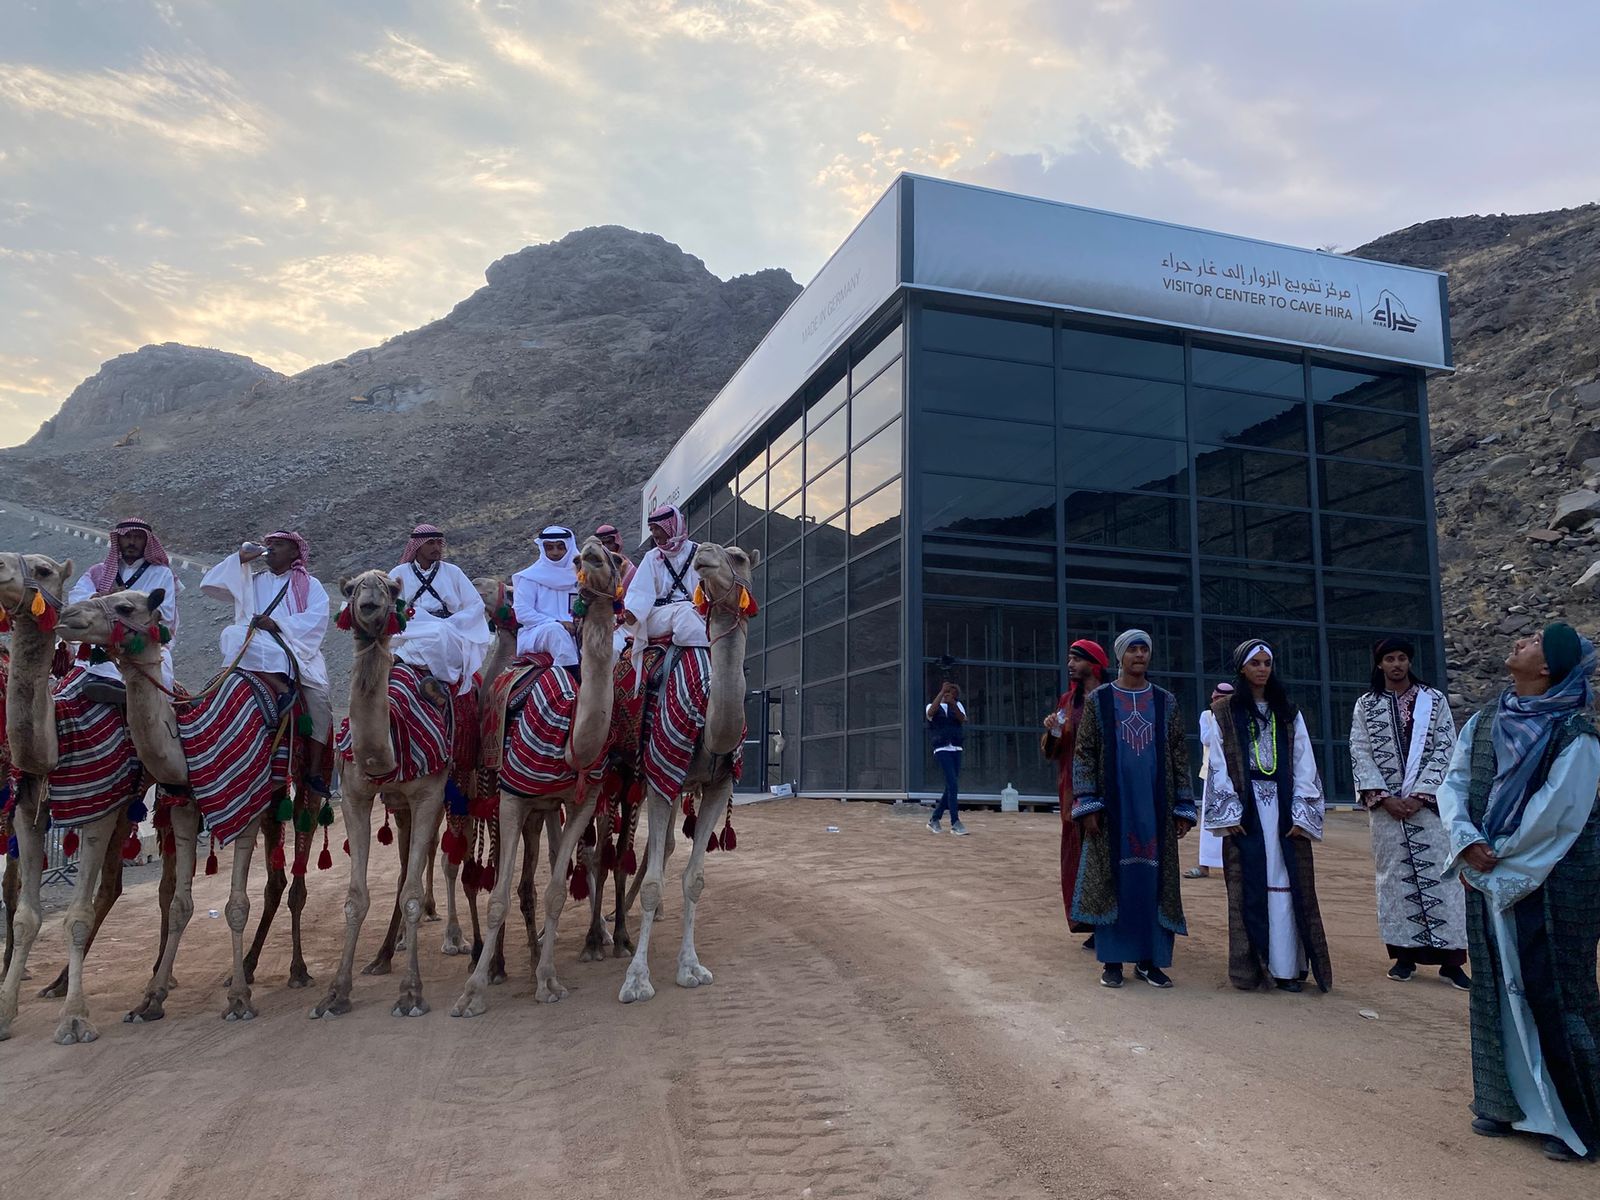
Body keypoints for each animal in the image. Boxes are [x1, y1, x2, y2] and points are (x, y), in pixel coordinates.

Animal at [58, 585, 302, 1024]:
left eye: (125, 607)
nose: (68, 615)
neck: (189, 744)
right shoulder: (186, 807)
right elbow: (179, 905)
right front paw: (151, 998)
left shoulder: (243, 807)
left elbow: (236, 904)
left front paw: (239, 1001)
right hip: (271, 804)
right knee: (276, 879)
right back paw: (251, 967)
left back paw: (297, 971)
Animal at [312, 569, 451, 1017]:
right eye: (353, 588)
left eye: (389, 589)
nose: (369, 603)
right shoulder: (356, 796)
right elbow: (356, 898)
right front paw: (336, 993)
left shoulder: (429, 795)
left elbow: (411, 894)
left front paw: (411, 993)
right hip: (400, 806)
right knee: (409, 861)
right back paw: (384, 955)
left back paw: (459, 939)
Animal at [457, 534, 624, 1017]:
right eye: (582, 556)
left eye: (615, 558)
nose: (591, 550)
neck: (571, 739)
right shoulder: (512, 798)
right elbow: (496, 897)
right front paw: (472, 992)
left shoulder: (580, 799)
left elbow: (554, 890)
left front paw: (548, 980)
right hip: (499, 796)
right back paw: (498, 963)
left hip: (543, 809)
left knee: (534, 879)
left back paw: (535, 959)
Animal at [617, 544, 755, 1004]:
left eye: (739, 557)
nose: (705, 554)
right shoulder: (661, 774)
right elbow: (654, 881)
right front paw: (636, 980)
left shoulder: (717, 785)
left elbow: (693, 879)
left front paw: (691, 967)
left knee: (658, 848)